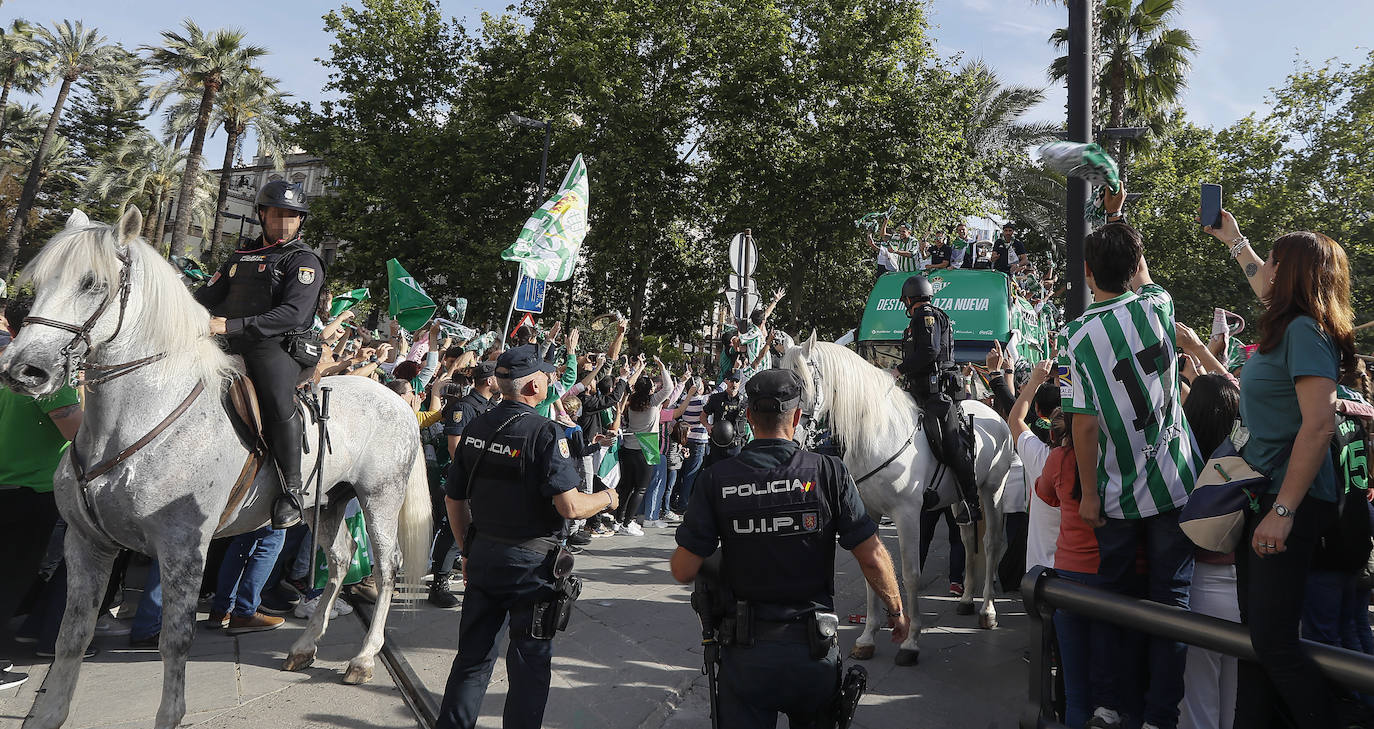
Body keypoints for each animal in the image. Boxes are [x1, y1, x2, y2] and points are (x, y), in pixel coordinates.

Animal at [1, 210, 428, 729]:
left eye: (92, 283)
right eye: (38, 282)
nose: (23, 370)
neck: (132, 417)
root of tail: (397, 400)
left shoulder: (184, 548)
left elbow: (175, 642)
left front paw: (170, 714)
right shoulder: (85, 544)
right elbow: (71, 636)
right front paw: (48, 712)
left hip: (381, 496)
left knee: (386, 567)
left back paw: (364, 658)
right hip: (326, 501)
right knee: (343, 560)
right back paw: (304, 647)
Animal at [785, 333, 1011, 664]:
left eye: (800, 383)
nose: (788, 435)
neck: (877, 433)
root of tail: (994, 414)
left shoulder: (906, 515)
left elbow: (911, 574)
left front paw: (910, 641)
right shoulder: (868, 513)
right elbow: (871, 574)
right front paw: (867, 638)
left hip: (993, 491)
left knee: (991, 543)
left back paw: (988, 610)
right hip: (960, 500)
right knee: (968, 540)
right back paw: (967, 599)